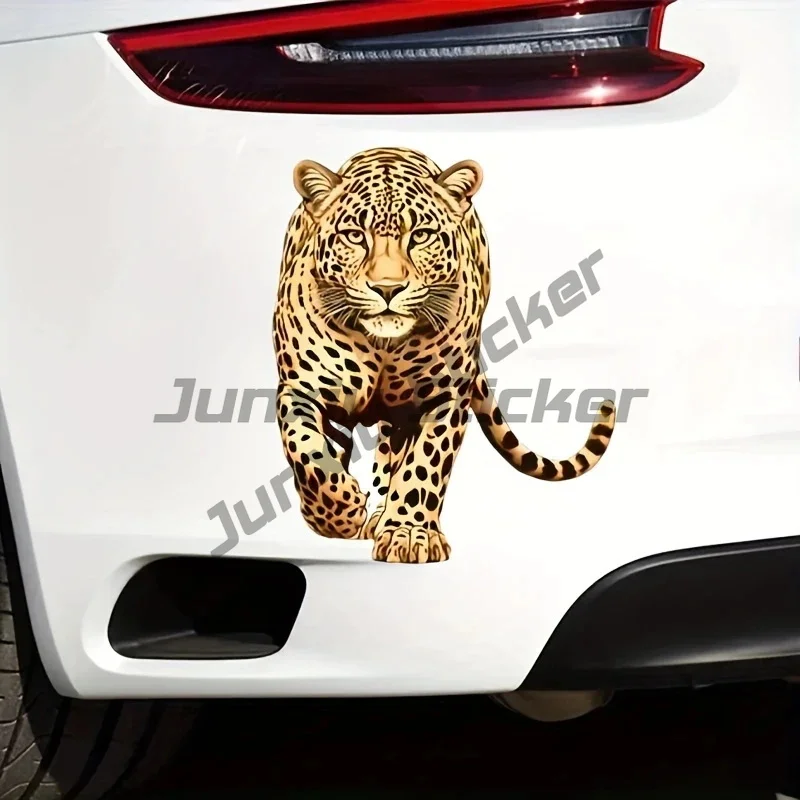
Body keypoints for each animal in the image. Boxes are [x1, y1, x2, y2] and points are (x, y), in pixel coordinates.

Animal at [272, 146, 616, 564]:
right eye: (354, 236)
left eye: (420, 236)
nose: (387, 288)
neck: (383, 346)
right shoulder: (306, 390)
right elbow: (309, 454)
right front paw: (338, 513)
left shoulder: (444, 397)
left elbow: (424, 465)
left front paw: (408, 533)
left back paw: (384, 515)